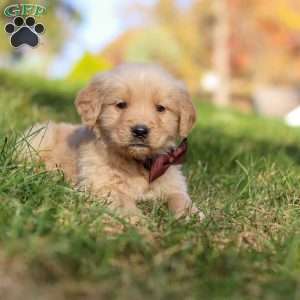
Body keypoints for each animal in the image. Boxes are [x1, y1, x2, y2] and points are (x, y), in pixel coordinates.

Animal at [21, 63, 204, 220]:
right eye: (121, 104)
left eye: (160, 108)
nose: (140, 131)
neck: (138, 163)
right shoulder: (102, 185)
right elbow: (123, 200)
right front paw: (136, 221)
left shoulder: (172, 181)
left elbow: (180, 198)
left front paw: (193, 216)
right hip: (38, 138)